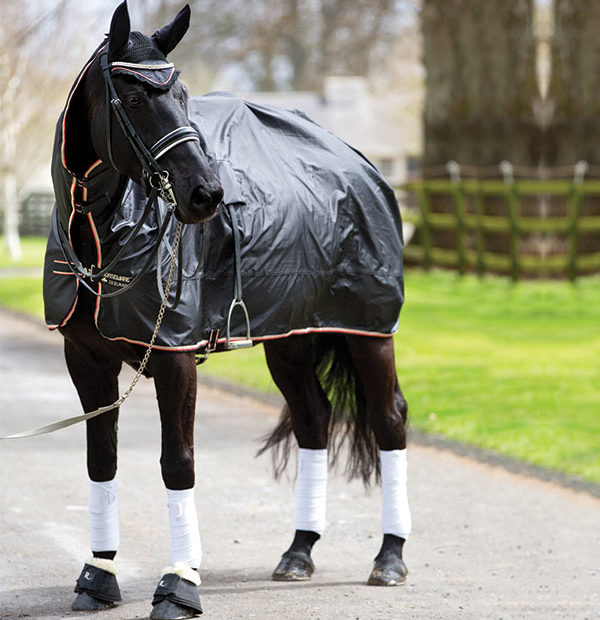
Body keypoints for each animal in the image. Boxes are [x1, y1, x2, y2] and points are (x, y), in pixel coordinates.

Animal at [42, 2, 410, 616]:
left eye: (183, 93)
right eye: (134, 99)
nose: (206, 194)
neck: (101, 236)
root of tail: (358, 163)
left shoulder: (173, 356)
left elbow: (178, 463)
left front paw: (179, 585)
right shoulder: (87, 360)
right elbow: (101, 462)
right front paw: (98, 576)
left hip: (369, 331)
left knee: (389, 420)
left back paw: (390, 556)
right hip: (290, 339)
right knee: (314, 420)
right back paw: (299, 551)